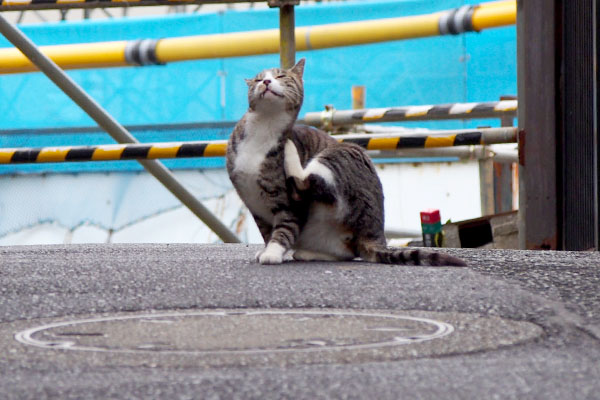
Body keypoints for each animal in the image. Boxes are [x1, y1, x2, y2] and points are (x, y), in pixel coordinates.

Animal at [227, 57, 466, 268]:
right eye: (258, 80)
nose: (266, 82)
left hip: (342, 155)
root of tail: (375, 235)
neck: (264, 128)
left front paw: (273, 253)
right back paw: (308, 253)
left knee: (308, 184)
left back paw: (290, 150)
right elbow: (266, 231)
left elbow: (285, 227)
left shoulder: (289, 203)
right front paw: (267, 249)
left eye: (280, 75)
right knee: (346, 252)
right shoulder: (254, 205)